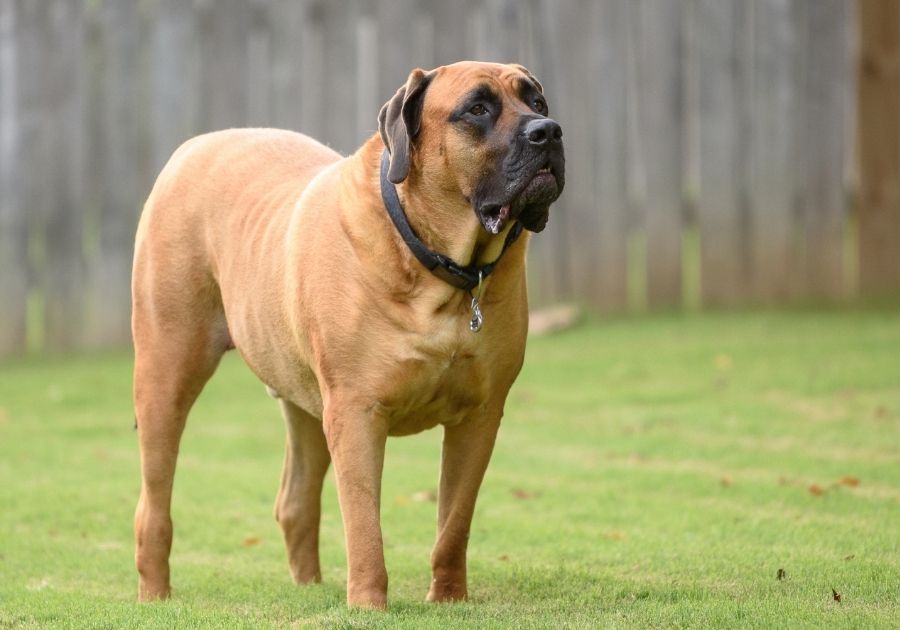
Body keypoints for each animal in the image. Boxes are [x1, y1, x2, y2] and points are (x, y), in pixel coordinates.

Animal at [130, 61, 568, 608]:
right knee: (154, 504)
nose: (549, 131)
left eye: (538, 102)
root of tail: (192, 147)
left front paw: (448, 598)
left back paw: (309, 587)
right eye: (477, 108)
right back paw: (155, 593)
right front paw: (368, 604)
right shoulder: (356, 411)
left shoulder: (481, 415)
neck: (441, 268)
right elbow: (364, 525)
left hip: (304, 401)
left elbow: (454, 522)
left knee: (295, 501)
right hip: (165, 372)